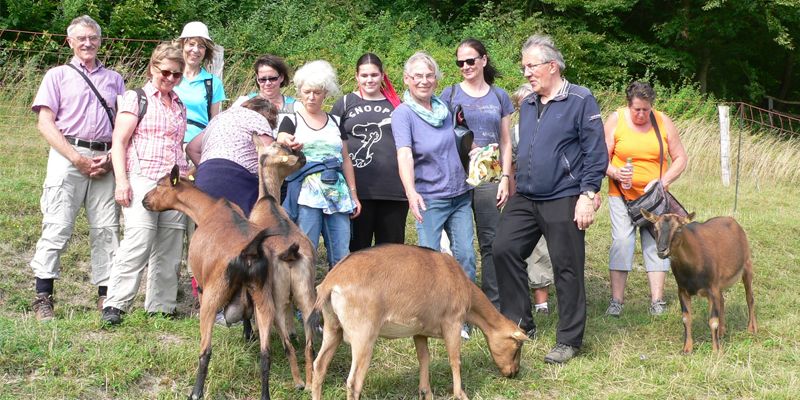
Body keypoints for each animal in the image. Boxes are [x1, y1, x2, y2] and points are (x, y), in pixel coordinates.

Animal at [142, 165, 290, 400]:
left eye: (159, 185)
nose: (144, 200)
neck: (208, 209)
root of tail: (250, 250)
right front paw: (247, 334)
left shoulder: (203, 287)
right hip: (264, 297)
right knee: (266, 355)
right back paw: (264, 394)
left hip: (213, 295)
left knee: (206, 351)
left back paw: (196, 393)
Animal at [250, 139, 316, 390]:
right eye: (285, 147)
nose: (303, 154)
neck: (267, 200)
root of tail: (291, 254)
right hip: (307, 296)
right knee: (309, 346)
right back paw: (310, 382)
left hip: (275, 298)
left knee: (288, 346)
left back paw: (298, 382)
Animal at [310, 244, 528, 400]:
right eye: (517, 346)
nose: (513, 372)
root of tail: (330, 283)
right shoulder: (453, 321)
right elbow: (454, 359)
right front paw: (460, 394)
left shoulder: (420, 331)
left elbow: (424, 358)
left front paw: (426, 392)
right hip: (363, 335)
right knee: (354, 382)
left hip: (333, 328)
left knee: (319, 366)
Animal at [644, 209, 756, 354]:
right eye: (655, 228)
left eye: (679, 228)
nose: (662, 250)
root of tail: (733, 221)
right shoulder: (682, 290)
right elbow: (686, 318)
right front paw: (687, 349)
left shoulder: (712, 288)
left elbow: (713, 320)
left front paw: (716, 350)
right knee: (722, 301)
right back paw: (722, 332)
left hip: (747, 265)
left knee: (749, 297)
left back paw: (751, 329)